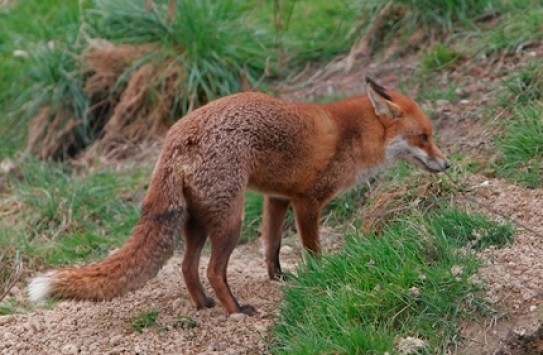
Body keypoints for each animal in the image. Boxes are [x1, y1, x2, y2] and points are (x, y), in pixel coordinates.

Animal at [26, 77, 450, 314]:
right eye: (424, 136)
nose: (446, 164)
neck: (352, 136)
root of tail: (176, 135)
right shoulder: (307, 201)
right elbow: (311, 249)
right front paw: (321, 276)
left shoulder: (277, 198)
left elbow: (272, 246)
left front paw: (279, 279)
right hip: (230, 220)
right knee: (214, 270)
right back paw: (236, 310)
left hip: (197, 221)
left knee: (187, 267)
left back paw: (203, 305)